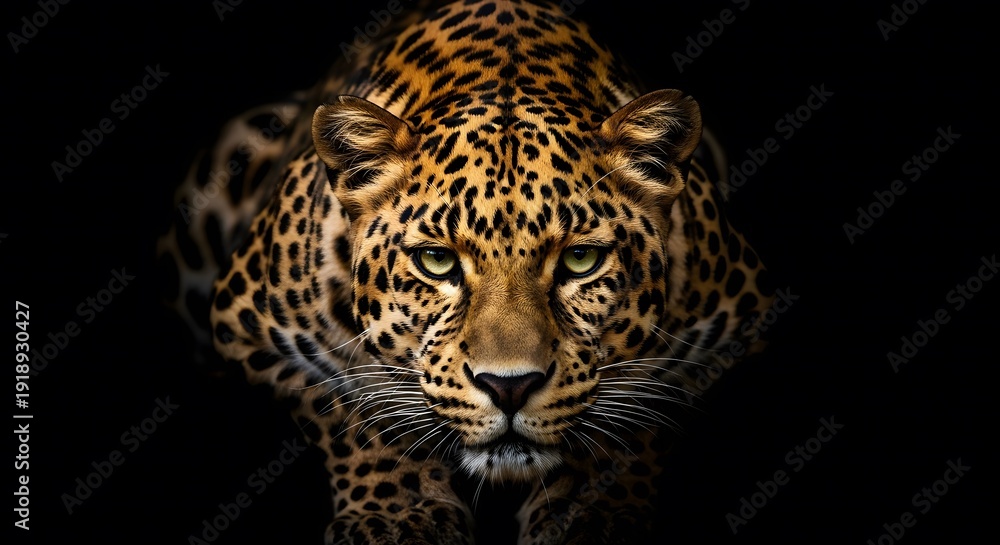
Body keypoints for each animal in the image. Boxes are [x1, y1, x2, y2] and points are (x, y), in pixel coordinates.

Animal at [157, 0, 776, 542]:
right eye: (437, 261)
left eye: (580, 259)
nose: (510, 387)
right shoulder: (247, 322)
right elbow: (351, 410)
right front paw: (399, 518)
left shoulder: (735, 326)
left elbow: (642, 415)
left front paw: (591, 515)